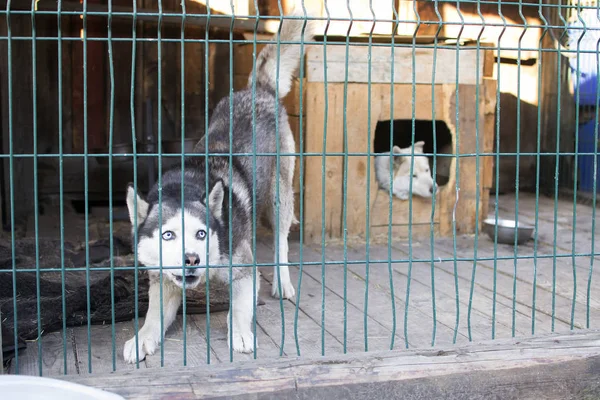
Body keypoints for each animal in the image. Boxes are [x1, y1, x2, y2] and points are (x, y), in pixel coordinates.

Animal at [122, 11, 314, 362]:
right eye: (168, 235)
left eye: (201, 233)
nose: (191, 259)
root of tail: (257, 90)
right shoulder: (165, 281)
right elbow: (153, 316)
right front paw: (141, 338)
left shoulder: (244, 268)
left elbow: (239, 307)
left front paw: (239, 333)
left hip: (278, 197)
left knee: (281, 241)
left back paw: (283, 283)